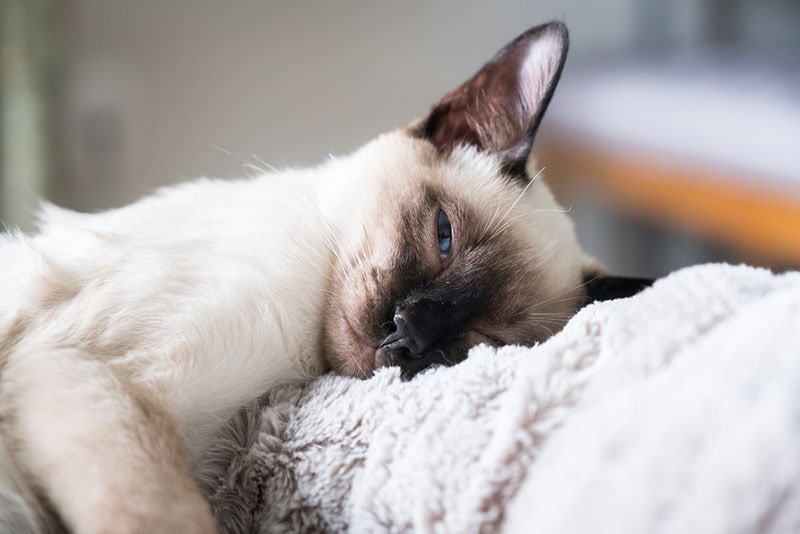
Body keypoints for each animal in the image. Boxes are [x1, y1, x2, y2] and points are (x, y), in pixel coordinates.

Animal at [0, 21, 648, 534]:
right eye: (443, 238)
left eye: (484, 339)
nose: (407, 331)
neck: (293, 352)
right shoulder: (90, 371)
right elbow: (163, 516)